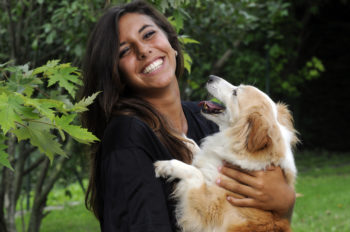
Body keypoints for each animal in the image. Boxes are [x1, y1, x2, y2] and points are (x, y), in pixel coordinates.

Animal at [155, 76, 298, 232]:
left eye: (235, 92)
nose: (210, 77)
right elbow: (198, 151)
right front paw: (183, 138)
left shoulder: (207, 210)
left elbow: (195, 173)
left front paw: (166, 166)